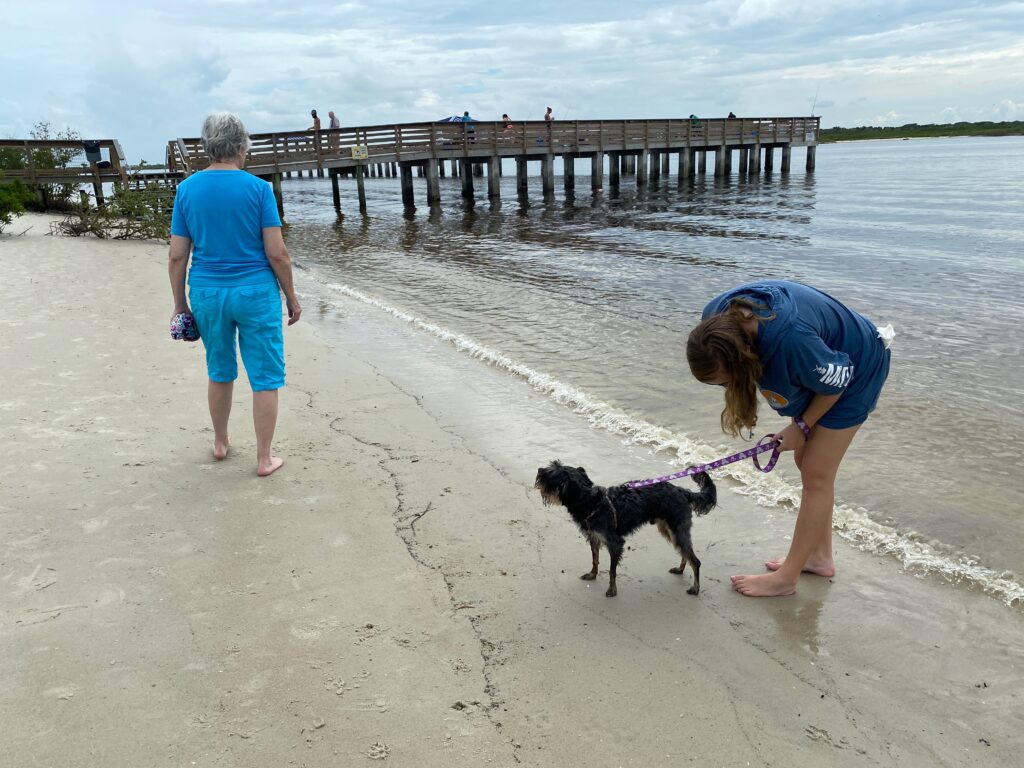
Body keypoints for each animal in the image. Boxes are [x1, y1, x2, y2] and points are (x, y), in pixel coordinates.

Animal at [532, 460, 716, 598]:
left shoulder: (615, 543)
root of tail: (684, 492)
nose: (539, 469)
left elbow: (612, 570)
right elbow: (595, 559)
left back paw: (695, 588)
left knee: (695, 560)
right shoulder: (594, 537)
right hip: (669, 530)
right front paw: (593, 574)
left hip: (676, 530)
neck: (591, 502)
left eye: (551, 473)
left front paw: (612, 589)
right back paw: (680, 569)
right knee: (685, 553)